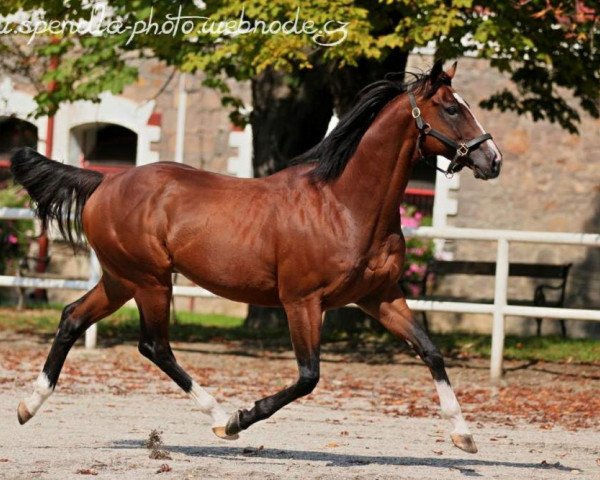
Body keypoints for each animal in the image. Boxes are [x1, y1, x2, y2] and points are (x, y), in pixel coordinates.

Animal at [10, 60, 502, 454]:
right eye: (452, 109)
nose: (492, 160)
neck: (344, 205)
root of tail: (104, 181)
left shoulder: (378, 296)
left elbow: (430, 351)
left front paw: (464, 435)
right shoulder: (302, 302)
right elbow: (308, 376)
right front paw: (240, 419)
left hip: (120, 279)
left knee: (73, 317)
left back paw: (27, 406)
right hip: (150, 280)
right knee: (154, 346)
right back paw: (218, 417)